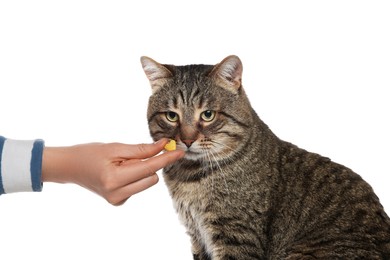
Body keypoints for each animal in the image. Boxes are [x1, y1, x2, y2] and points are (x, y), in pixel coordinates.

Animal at [141, 55, 390, 260]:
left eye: (208, 115)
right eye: (172, 116)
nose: (187, 139)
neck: (189, 177)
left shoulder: (236, 235)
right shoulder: (197, 236)